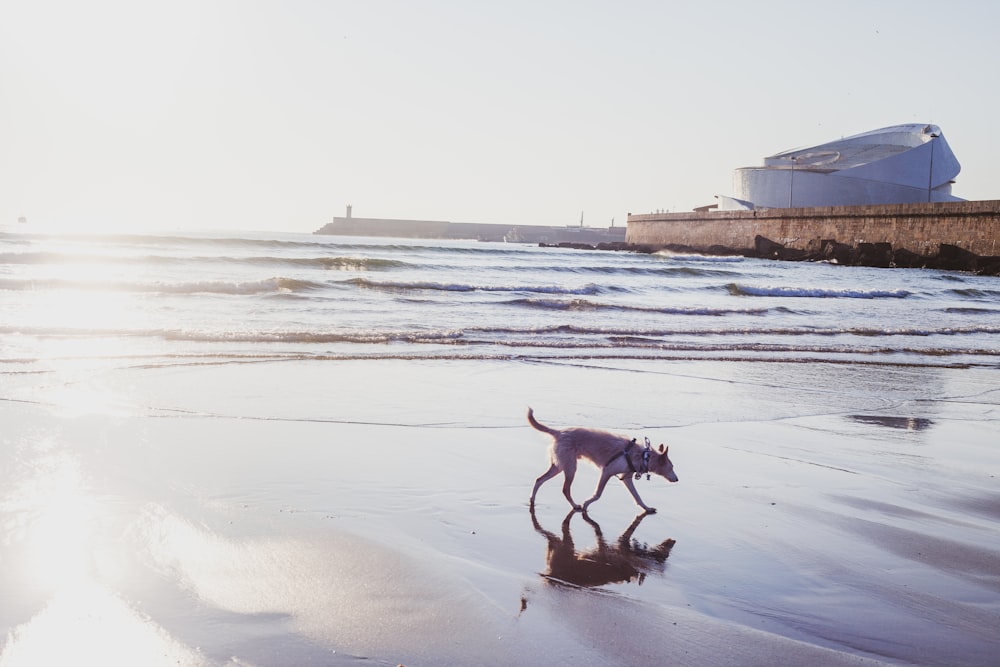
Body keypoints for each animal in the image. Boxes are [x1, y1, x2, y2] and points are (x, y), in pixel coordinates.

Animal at [524, 408, 680, 512]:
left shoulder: (627, 478)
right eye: (672, 467)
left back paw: (532, 500)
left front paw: (646, 508)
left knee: (539, 480)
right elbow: (598, 494)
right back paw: (575, 505)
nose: (677, 479)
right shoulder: (607, 472)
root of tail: (559, 432)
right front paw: (586, 504)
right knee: (565, 489)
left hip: (559, 466)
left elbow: (637, 497)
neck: (643, 456)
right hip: (570, 467)